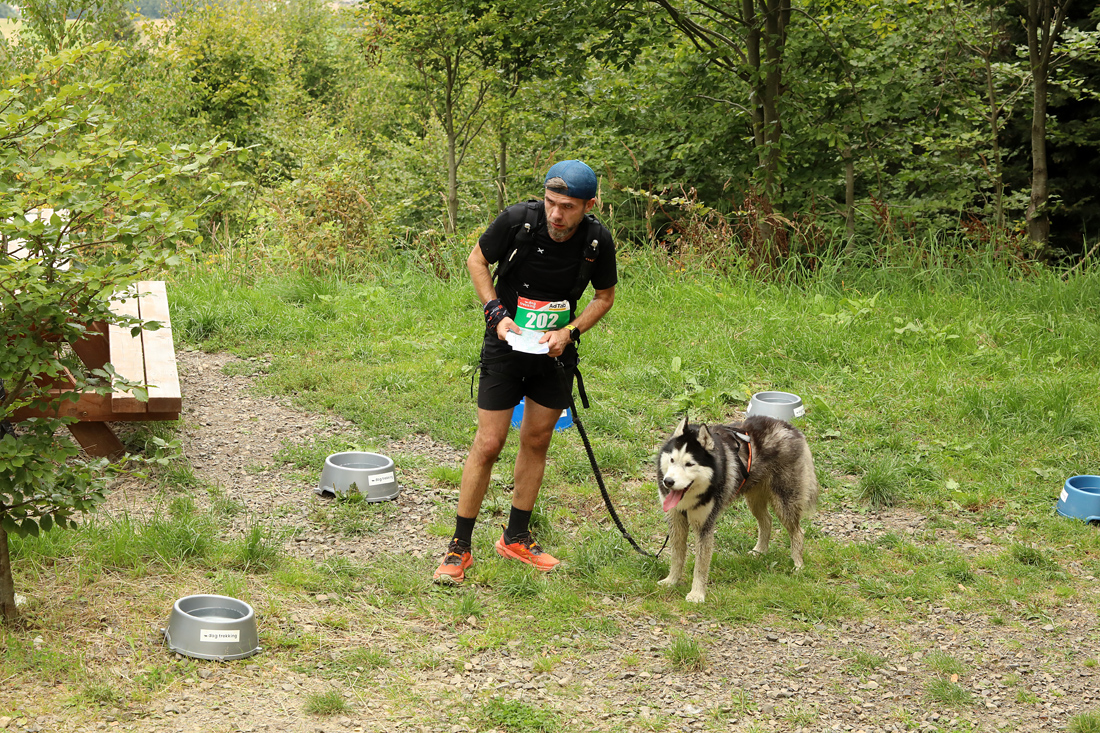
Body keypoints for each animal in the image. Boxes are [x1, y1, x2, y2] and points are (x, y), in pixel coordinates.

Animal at [656, 415, 820, 603]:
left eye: (689, 464)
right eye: (672, 460)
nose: (668, 482)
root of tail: (791, 428)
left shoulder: (705, 526)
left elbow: (700, 565)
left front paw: (697, 594)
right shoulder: (676, 521)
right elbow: (676, 556)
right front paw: (671, 581)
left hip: (784, 503)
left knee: (798, 532)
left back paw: (798, 564)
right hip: (754, 500)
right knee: (767, 520)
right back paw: (760, 550)